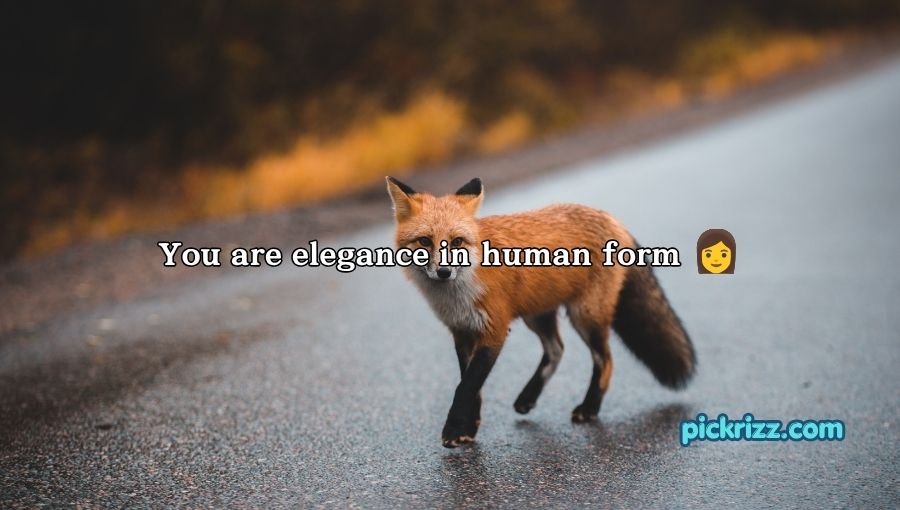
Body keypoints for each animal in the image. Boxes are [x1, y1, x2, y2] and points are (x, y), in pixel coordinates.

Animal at [386, 176, 695, 448]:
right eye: (425, 241)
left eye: (457, 241)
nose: (444, 271)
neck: (461, 289)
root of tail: (611, 218)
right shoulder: (462, 332)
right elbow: (472, 387)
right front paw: (468, 428)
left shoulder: (494, 330)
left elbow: (466, 387)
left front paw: (453, 430)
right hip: (537, 316)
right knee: (557, 350)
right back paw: (528, 397)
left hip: (585, 316)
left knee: (605, 360)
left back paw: (589, 408)